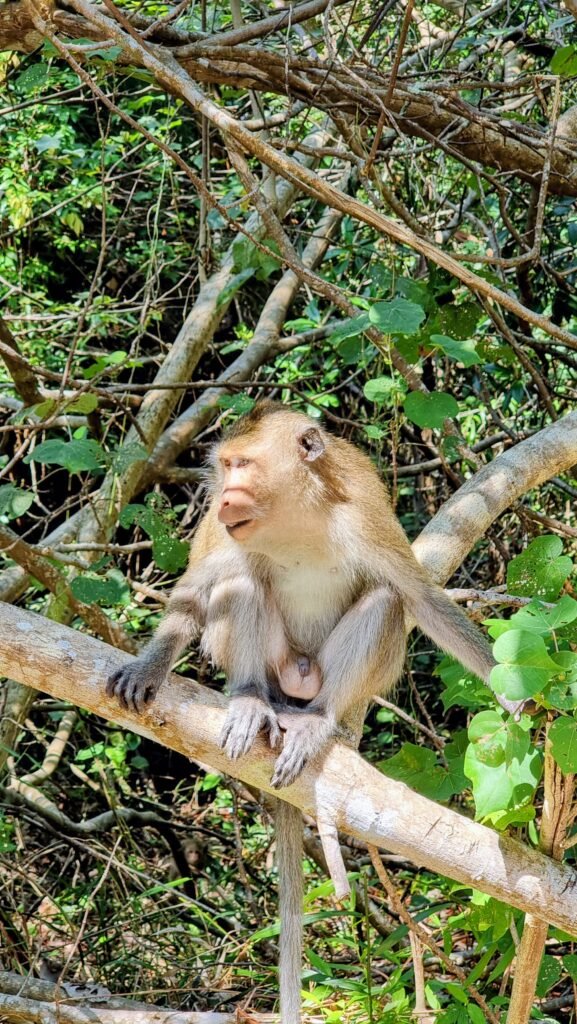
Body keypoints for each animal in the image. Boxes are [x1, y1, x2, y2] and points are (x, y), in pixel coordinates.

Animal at [107, 400, 520, 1024]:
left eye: (245, 465)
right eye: (225, 466)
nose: (225, 495)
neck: (293, 519)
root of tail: (292, 693)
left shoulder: (362, 519)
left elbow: (420, 599)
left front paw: (513, 693)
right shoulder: (222, 531)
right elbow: (194, 593)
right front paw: (150, 666)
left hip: (323, 681)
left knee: (384, 601)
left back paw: (320, 723)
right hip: (274, 666)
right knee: (239, 579)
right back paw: (251, 701)